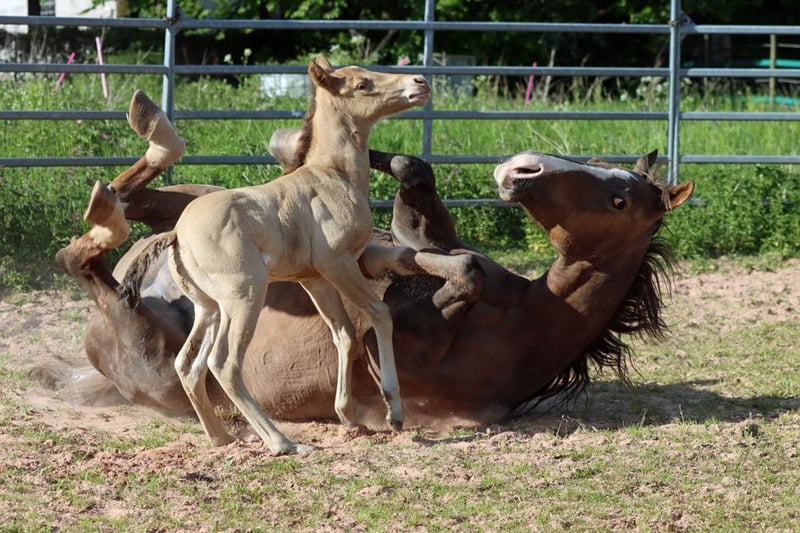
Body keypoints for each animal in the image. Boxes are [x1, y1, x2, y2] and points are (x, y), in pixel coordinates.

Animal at [51, 87, 695, 443]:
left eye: (620, 200)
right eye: (598, 164)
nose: (522, 168)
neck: (528, 316)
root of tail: (96, 357)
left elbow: (454, 273)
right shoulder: (420, 231)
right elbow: (419, 183)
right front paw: (300, 142)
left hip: (146, 328)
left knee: (86, 256)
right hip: (197, 204)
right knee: (135, 202)